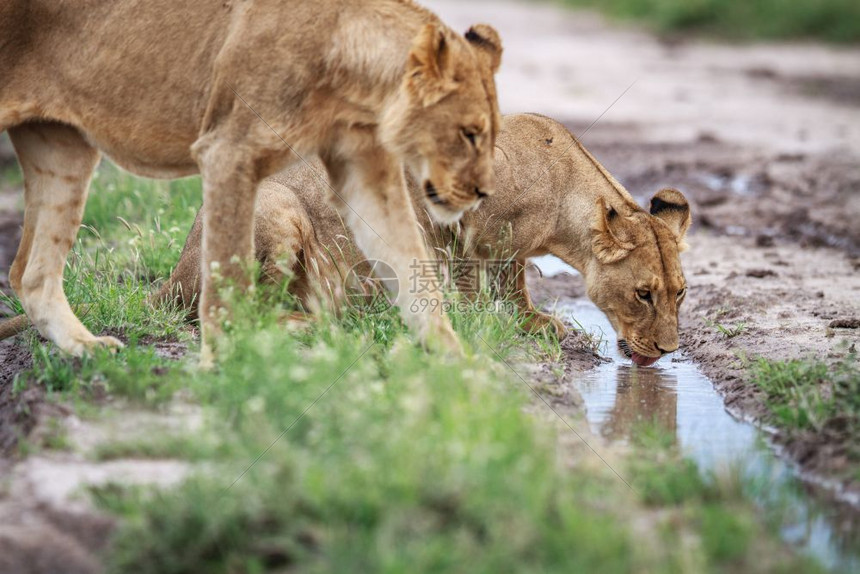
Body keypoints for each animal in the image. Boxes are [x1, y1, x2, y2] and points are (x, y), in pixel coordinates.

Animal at [0, 1, 500, 360]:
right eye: (469, 133)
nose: (482, 194)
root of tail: (172, 277)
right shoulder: (226, 149)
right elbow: (227, 288)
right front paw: (225, 375)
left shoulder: (364, 167)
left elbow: (413, 268)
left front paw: (460, 367)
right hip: (277, 205)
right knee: (251, 308)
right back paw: (321, 328)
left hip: (61, 147)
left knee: (28, 272)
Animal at [149, 115, 692, 366]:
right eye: (643, 293)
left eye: (681, 293)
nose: (668, 350)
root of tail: (171, 278)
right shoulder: (472, 231)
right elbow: (493, 289)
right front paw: (519, 325)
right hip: (275, 208)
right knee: (237, 314)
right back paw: (324, 322)